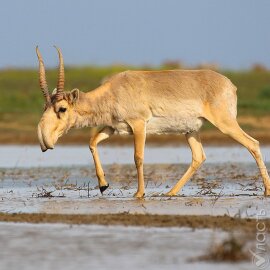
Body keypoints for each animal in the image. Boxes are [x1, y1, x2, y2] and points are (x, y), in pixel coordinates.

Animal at [36, 46, 270, 197]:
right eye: (44, 107)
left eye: (62, 108)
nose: (44, 140)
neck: (114, 90)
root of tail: (230, 85)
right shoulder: (113, 127)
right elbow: (92, 142)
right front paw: (103, 185)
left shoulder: (139, 125)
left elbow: (138, 157)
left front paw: (139, 193)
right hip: (191, 131)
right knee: (198, 156)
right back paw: (170, 193)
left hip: (225, 124)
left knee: (253, 144)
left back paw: (266, 190)